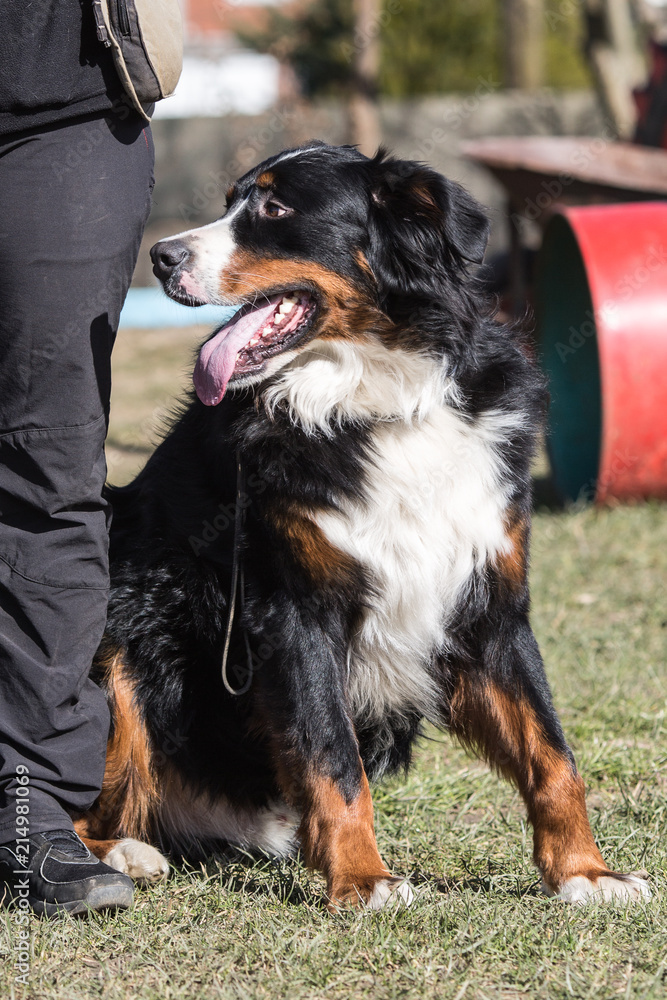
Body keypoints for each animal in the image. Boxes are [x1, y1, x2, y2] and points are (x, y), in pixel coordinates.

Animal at [74, 143, 652, 916]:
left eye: (274, 206)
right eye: (232, 202)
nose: (162, 256)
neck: (375, 400)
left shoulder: (489, 607)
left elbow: (552, 755)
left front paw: (585, 873)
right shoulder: (295, 612)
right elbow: (332, 757)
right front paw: (362, 881)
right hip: (118, 635)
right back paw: (122, 858)